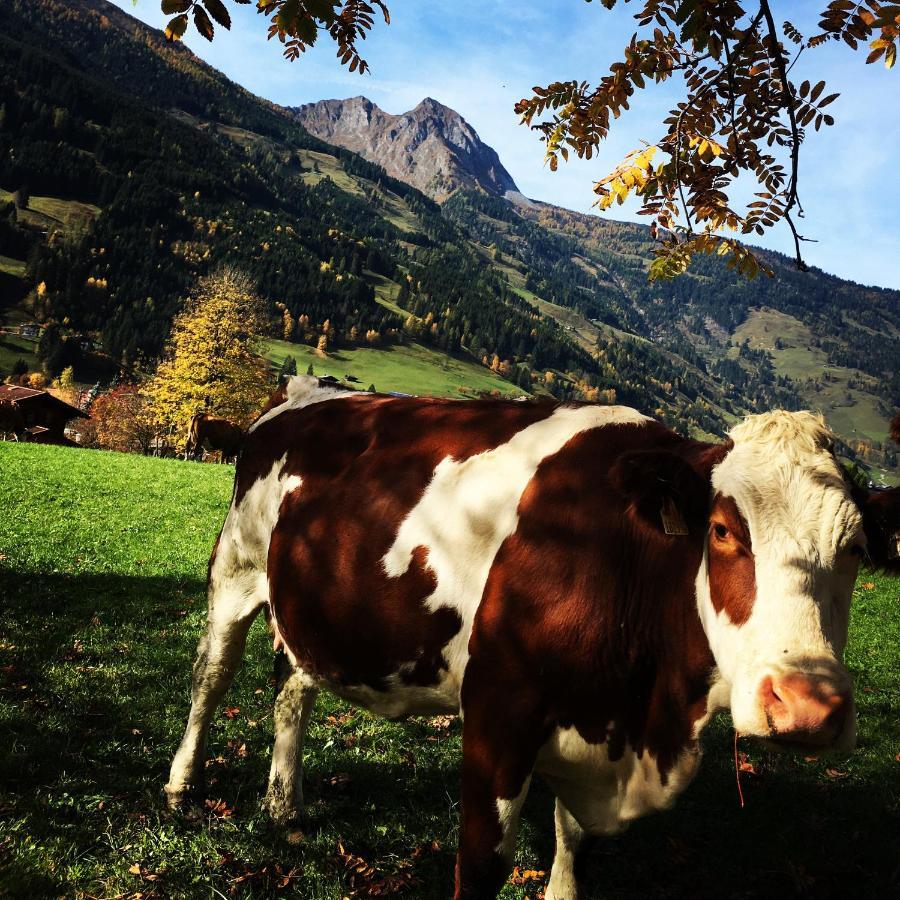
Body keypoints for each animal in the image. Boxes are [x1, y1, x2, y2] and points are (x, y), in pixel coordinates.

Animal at [163, 376, 900, 896]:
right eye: (722, 531)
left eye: (858, 547)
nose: (808, 706)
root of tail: (305, 390)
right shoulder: (499, 711)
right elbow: (483, 863)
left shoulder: (596, 732)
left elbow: (572, 853)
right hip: (234, 571)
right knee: (211, 678)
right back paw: (181, 786)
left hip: (311, 608)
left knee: (293, 689)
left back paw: (285, 807)